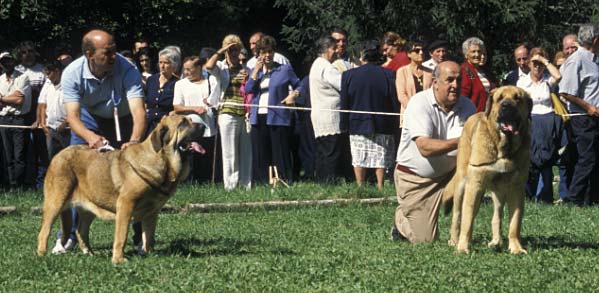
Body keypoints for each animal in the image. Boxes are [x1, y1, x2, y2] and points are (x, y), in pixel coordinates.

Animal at [38, 114, 206, 262]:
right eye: (183, 123)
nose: (204, 126)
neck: (163, 160)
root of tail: (58, 155)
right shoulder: (126, 206)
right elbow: (122, 235)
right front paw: (119, 259)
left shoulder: (152, 212)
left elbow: (149, 235)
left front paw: (149, 254)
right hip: (56, 202)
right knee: (44, 231)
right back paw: (42, 255)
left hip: (89, 208)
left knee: (81, 231)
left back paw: (89, 254)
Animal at [442, 85, 532, 253]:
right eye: (500, 98)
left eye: (518, 98)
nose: (507, 106)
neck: (504, 147)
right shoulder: (474, 185)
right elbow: (467, 220)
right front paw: (463, 248)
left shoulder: (516, 188)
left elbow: (514, 223)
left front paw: (516, 248)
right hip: (462, 185)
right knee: (457, 215)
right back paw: (454, 240)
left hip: (498, 192)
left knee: (497, 215)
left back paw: (496, 241)